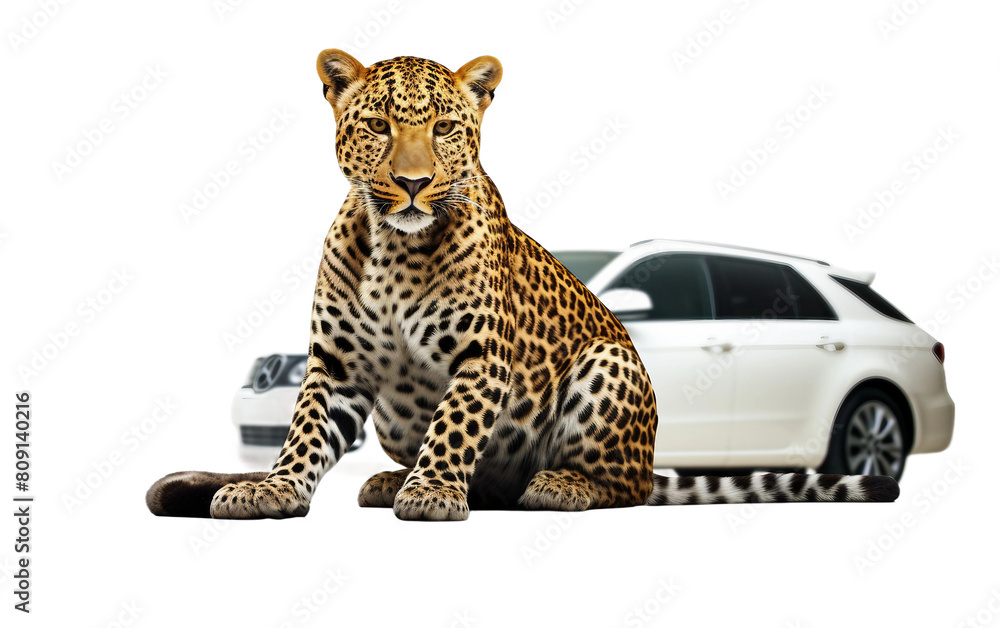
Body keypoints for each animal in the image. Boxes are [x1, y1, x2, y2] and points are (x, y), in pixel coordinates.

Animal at [146, 50, 899, 521]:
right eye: (379, 126)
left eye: (446, 127)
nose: (414, 183)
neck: (393, 247)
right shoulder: (338, 363)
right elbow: (304, 431)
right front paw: (271, 489)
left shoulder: (483, 356)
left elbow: (453, 424)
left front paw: (432, 493)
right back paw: (392, 478)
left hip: (608, 364)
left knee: (622, 486)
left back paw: (556, 484)